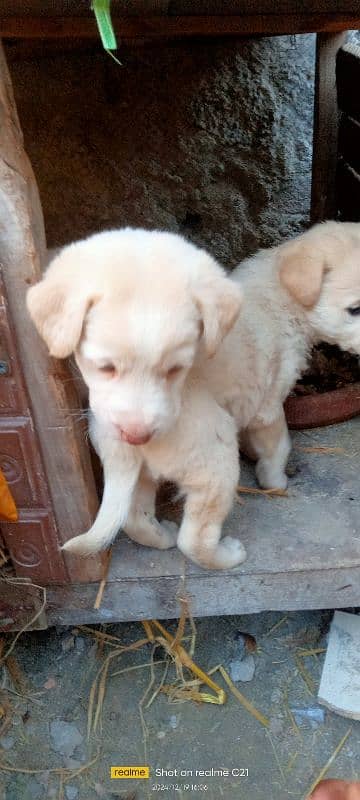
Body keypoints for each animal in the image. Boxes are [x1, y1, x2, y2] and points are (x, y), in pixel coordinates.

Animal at [26, 228, 243, 572]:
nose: (136, 435)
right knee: (194, 538)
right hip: (217, 462)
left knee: (133, 516)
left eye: (175, 369)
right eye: (105, 367)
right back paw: (226, 554)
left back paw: (160, 534)